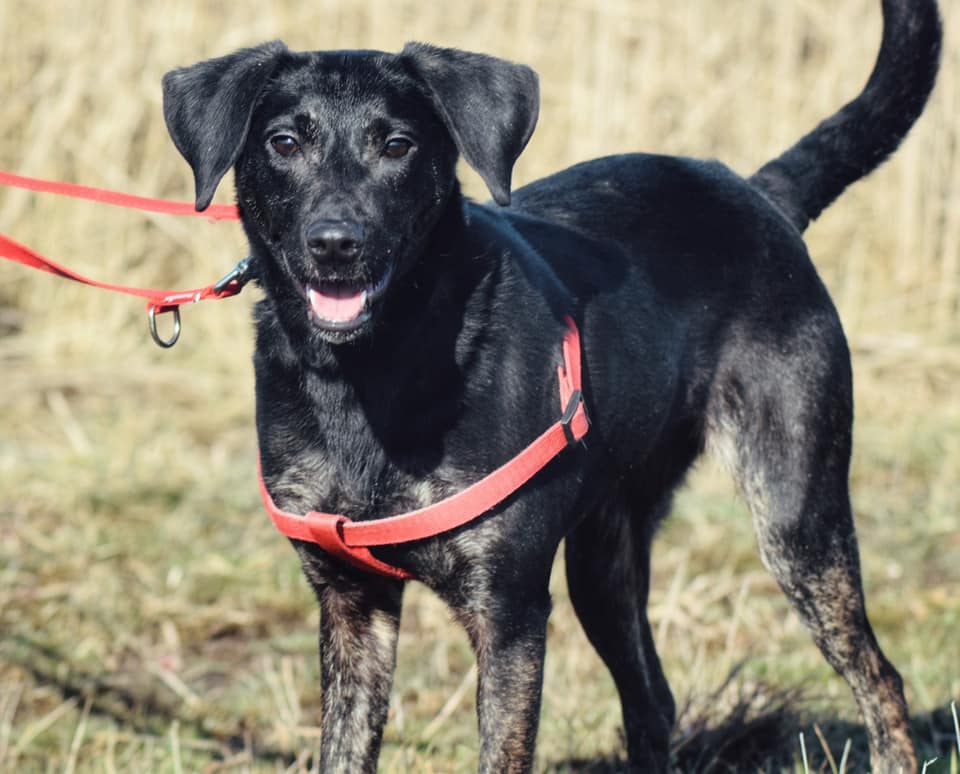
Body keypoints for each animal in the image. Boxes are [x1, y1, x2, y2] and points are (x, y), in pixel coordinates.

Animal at [161, 3, 940, 772]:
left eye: (398, 145)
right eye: (285, 142)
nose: (334, 244)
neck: (370, 375)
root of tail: (758, 195)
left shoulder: (508, 613)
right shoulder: (353, 606)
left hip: (796, 517)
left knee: (880, 679)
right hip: (604, 560)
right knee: (653, 700)